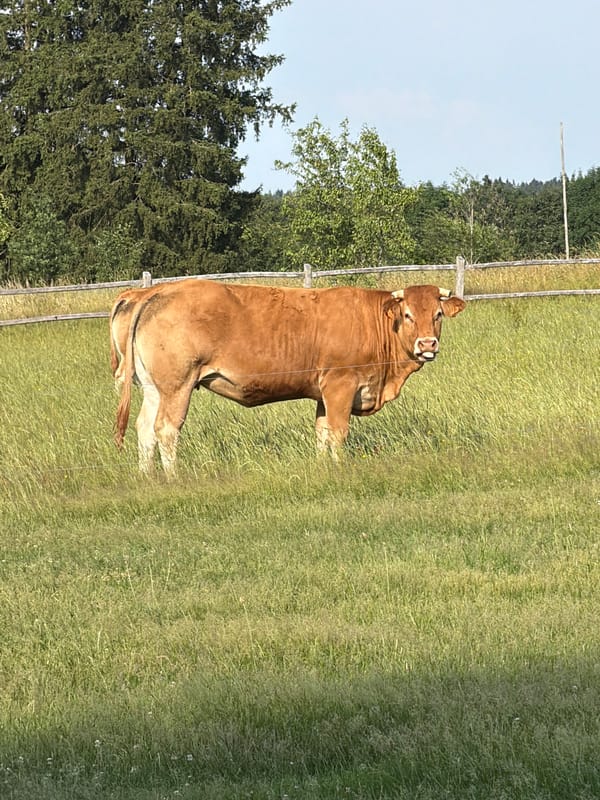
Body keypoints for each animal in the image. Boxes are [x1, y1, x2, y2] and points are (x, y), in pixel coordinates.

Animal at [114, 281, 466, 476]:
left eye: (437, 315)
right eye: (407, 315)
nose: (427, 345)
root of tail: (154, 291)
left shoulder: (324, 394)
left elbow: (322, 433)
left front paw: (324, 468)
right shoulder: (340, 386)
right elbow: (338, 433)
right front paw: (340, 469)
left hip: (154, 389)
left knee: (144, 429)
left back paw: (148, 476)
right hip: (178, 386)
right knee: (166, 430)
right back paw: (173, 477)